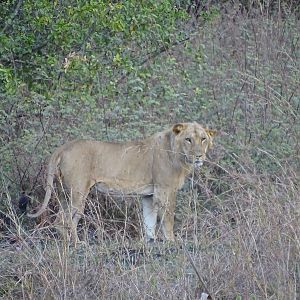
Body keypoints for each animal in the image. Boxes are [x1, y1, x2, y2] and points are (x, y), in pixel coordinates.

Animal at [27, 123, 216, 243]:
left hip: (64, 193)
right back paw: (75, 245)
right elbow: (167, 219)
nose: (199, 156)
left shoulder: (149, 194)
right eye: (188, 139)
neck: (178, 155)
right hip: (78, 193)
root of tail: (64, 147)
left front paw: (151, 241)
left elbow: (149, 221)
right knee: (62, 220)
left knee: (65, 220)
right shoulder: (165, 190)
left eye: (203, 139)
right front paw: (172, 242)